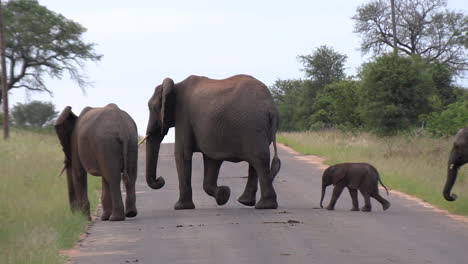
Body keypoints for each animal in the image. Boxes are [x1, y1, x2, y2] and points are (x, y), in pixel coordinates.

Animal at [144, 75, 280, 209]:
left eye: (151, 108)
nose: (160, 179)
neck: (176, 85)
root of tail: (271, 107)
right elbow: (212, 160)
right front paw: (223, 195)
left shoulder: (183, 116)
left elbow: (182, 154)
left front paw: (180, 207)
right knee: (256, 161)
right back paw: (247, 202)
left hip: (251, 126)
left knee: (259, 160)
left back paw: (264, 205)